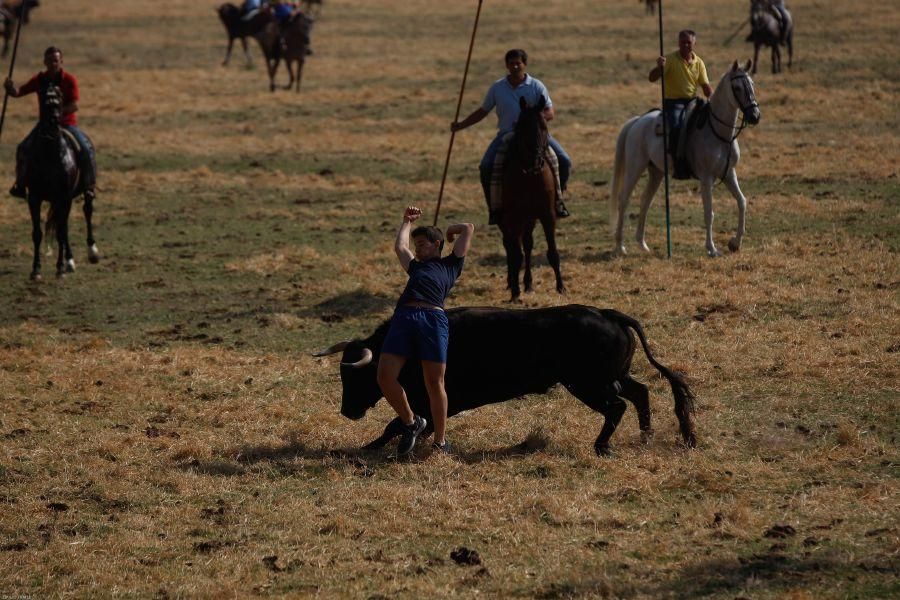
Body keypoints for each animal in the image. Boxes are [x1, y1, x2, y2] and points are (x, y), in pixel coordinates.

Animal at [25, 84, 90, 278]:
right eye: (44, 102)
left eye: (59, 101)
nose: (53, 121)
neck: (50, 155)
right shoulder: (34, 198)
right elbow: (37, 233)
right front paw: (36, 269)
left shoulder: (64, 197)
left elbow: (61, 232)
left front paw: (60, 267)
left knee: (86, 212)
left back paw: (89, 253)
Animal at [312, 304, 700, 454]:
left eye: (358, 376)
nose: (347, 412)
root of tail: (608, 314)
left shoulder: (437, 399)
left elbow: (397, 423)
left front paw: (367, 447)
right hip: (611, 377)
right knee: (641, 393)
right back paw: (646, 436)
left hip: (589, 385)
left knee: (617, 405)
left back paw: (602, 446)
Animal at [500, 96, 564, 302]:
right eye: (522, 126)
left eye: (544, 125)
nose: (536, 158)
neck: (529, 175)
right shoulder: (513, 218)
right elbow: (515, 254)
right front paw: (515, 292)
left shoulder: (547, 214)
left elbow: (552, 252)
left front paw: (561, 287)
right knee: (511, 246)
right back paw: (512, 282)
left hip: (530, 219)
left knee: (527, 245)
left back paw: (527, 283)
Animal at [612, 61, 760, 258]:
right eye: (737, 87)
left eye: (752, 84)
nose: (755, 116)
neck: (719, 133)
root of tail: (638, 120)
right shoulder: (706, 178)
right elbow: (709, 213)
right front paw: (712, 248)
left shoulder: (729, 173)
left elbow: (742, 202)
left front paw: (735, 243)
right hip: (635, 167)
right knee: (624, 200)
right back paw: (620, 246)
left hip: (656, 172)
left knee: (645, 200)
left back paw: (642, 244)